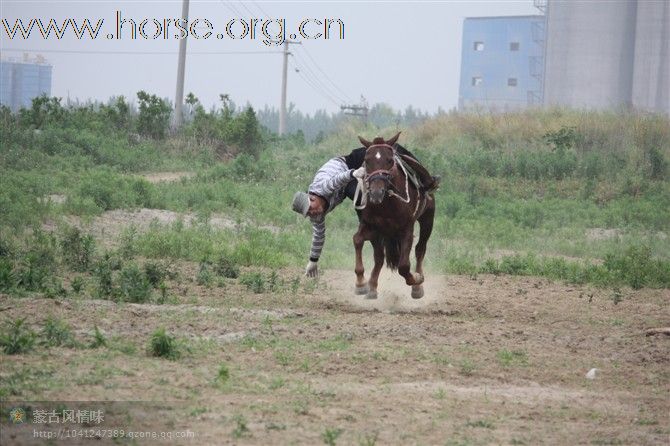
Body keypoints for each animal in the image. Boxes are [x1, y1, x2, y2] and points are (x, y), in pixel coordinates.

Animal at [354, 132, 438, 300]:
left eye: (390, 160)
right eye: (367, 160)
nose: (376, 193)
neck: (387, 203)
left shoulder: (406, 229)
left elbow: (404, 266)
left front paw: (416, 279)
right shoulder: (370, 225)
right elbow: (357, 240)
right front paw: (360, 283)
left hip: (428, 219)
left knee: (420, 249)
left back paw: (417, 286)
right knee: (379, 256)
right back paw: (372, 288)